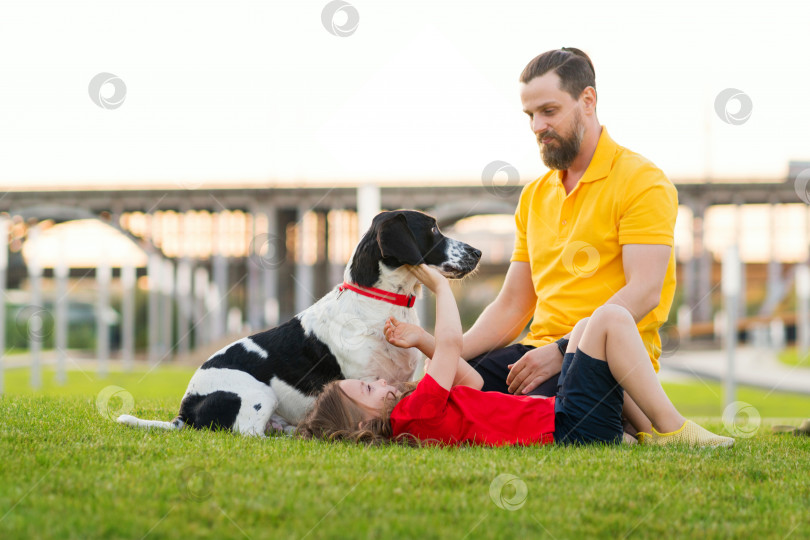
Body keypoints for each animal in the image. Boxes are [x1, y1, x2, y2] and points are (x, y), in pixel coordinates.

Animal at [115, 209, 480, 436]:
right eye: (432, 228)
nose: (477, 252)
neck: (381, 302)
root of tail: (184, 411)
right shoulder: (364, 378)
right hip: (259, 392)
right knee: (249, 432)